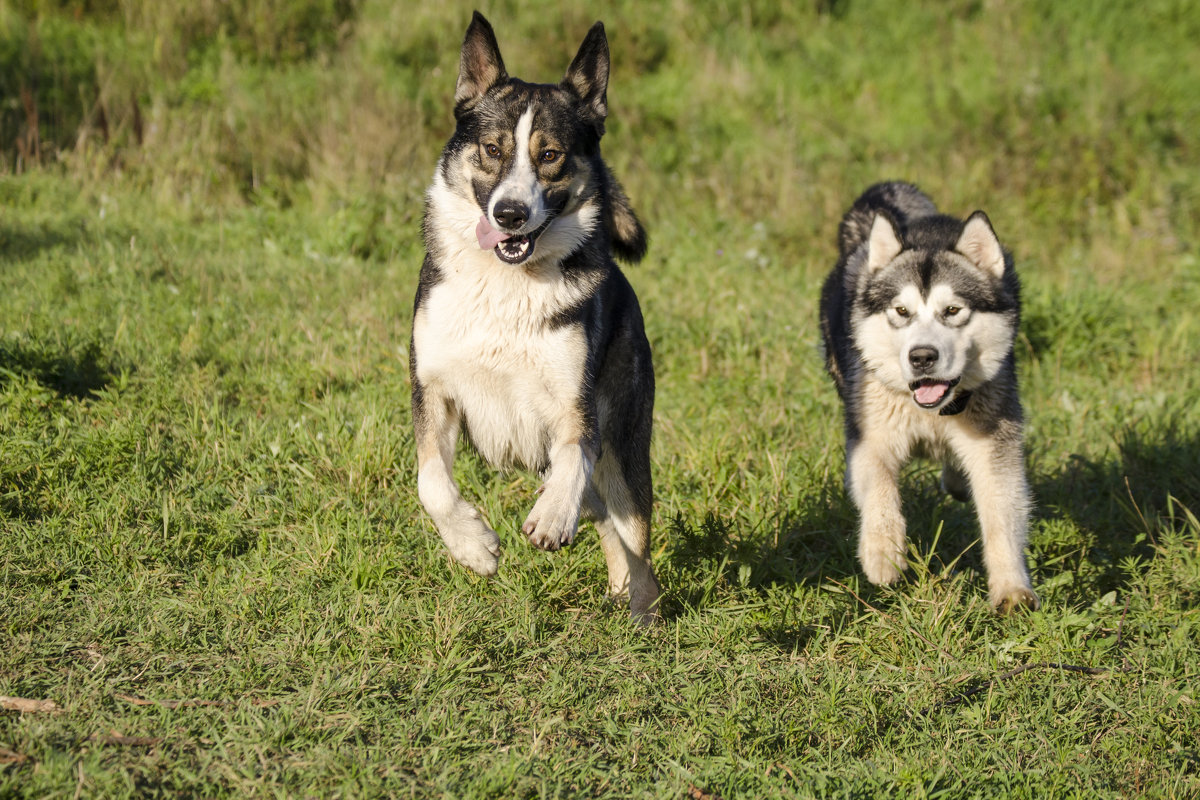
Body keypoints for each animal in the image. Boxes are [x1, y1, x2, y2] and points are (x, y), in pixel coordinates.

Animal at [410, 14, 657, 623]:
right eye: (492, 149)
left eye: (550, 156)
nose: (509, 213)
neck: (507, 286)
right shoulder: (433, 391)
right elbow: (432, 483)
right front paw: (474, 547)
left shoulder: (576, 406)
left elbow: (573, 457)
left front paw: (549, 518)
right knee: (609, 526)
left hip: (625, 448)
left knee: (633, 536)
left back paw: (644, 613)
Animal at [820, 183, 1036, 614]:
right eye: (901, 311)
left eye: (952, 310)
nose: (921, 357)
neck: (931, 412)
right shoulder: (870, 437)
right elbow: (880, 490)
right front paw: (882, 553)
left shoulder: (994, 443)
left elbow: (1001, 514)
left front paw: (1011, 589)